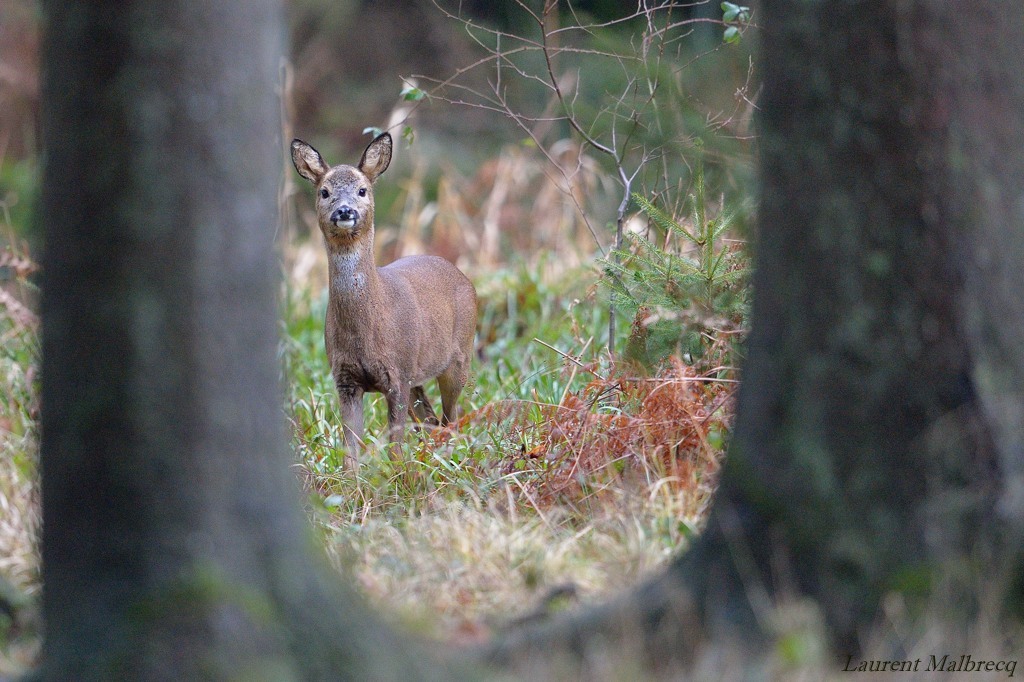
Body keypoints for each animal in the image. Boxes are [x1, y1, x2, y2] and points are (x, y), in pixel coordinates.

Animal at [290, 131, 477, 466]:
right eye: (324, 192)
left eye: (362, 190)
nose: (345, 211)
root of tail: (463, 277)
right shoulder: (345, 379)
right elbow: (350, 451)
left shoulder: (398, 374)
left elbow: (395, 449)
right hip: (418, 375)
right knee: (431, 420)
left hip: (459, 358)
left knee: (450, 418)